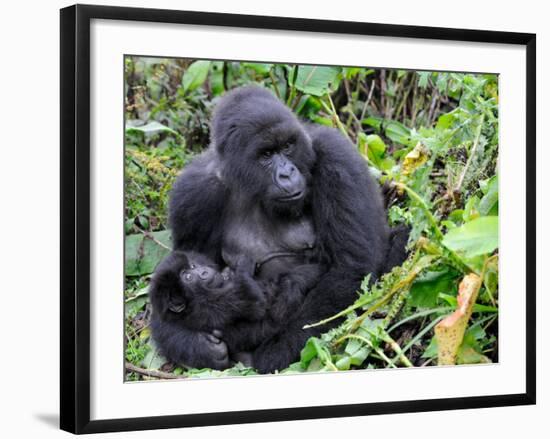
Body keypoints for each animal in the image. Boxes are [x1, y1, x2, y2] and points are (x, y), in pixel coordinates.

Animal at [155, 85, 406, 372]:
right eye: (266, 155)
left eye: (287, 147)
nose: (287, 173)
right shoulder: (193, 194)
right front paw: (196, 347)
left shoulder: (337, 156)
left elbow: (350, 269)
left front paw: (272, 355)